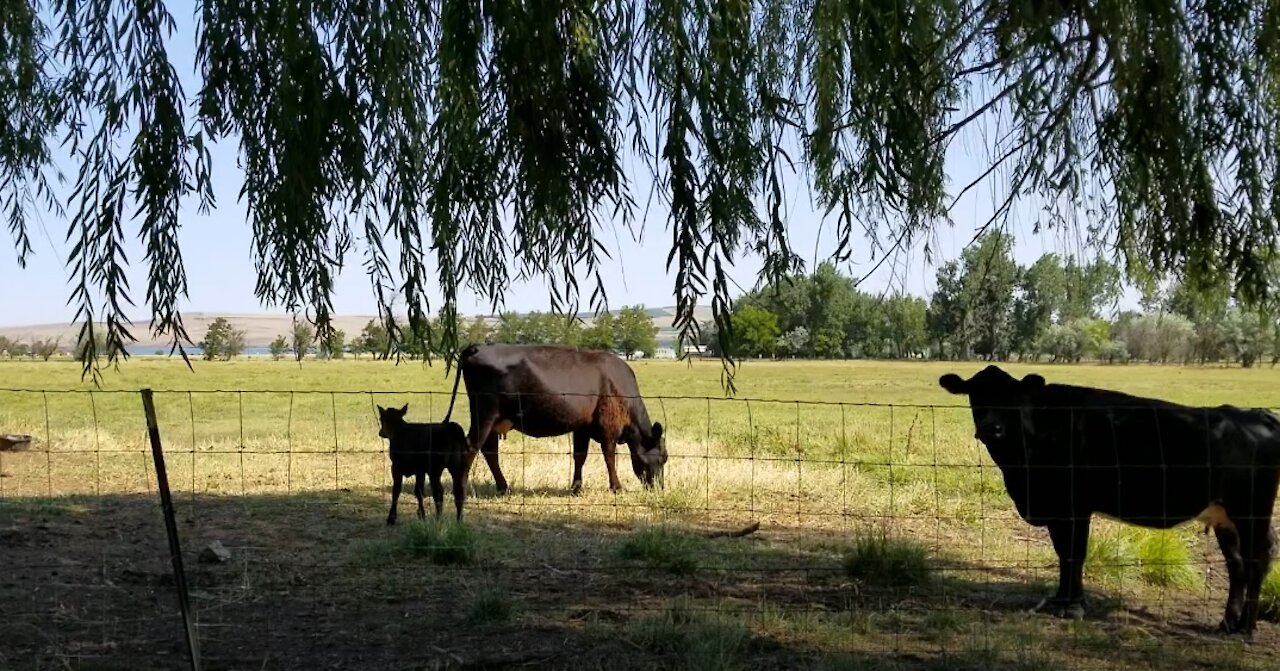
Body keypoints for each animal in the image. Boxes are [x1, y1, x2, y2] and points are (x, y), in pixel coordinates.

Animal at [442, 343, 670, 494]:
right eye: (663, 458)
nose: (659, 489)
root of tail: (477, 347)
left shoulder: (583, 426)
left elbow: (580, 456)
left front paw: (576, 488)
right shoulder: (608, 426)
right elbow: (609, 456)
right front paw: (616, 487)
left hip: (491, 419)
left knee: (489, 451)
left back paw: (503, 487)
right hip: (485, 413)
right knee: (472, 447)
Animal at [942, 366, 1280, 635]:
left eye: (1011, 397)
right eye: (976, 394)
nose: (991, 428)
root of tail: (1257, 414)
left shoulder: (1074, 506)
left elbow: (1074, 555)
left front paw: (1073, 606)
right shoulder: (1057, 509)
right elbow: (1063, 554)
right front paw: (1062, 600)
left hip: (1252, 512)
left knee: (1256, 561)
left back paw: (1246, 627)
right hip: (1225, 517)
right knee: (1237, 565)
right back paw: (1228, 623)